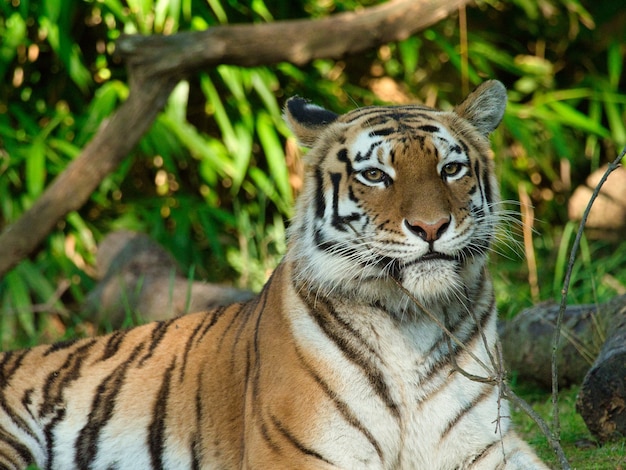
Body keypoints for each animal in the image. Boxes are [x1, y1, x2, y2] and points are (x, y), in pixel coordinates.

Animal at [0, 81, 544, 470]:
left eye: (451, 169)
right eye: (375, 176)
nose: (431, 227)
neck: (411, 318)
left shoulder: (488, 446)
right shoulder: (299, 453)